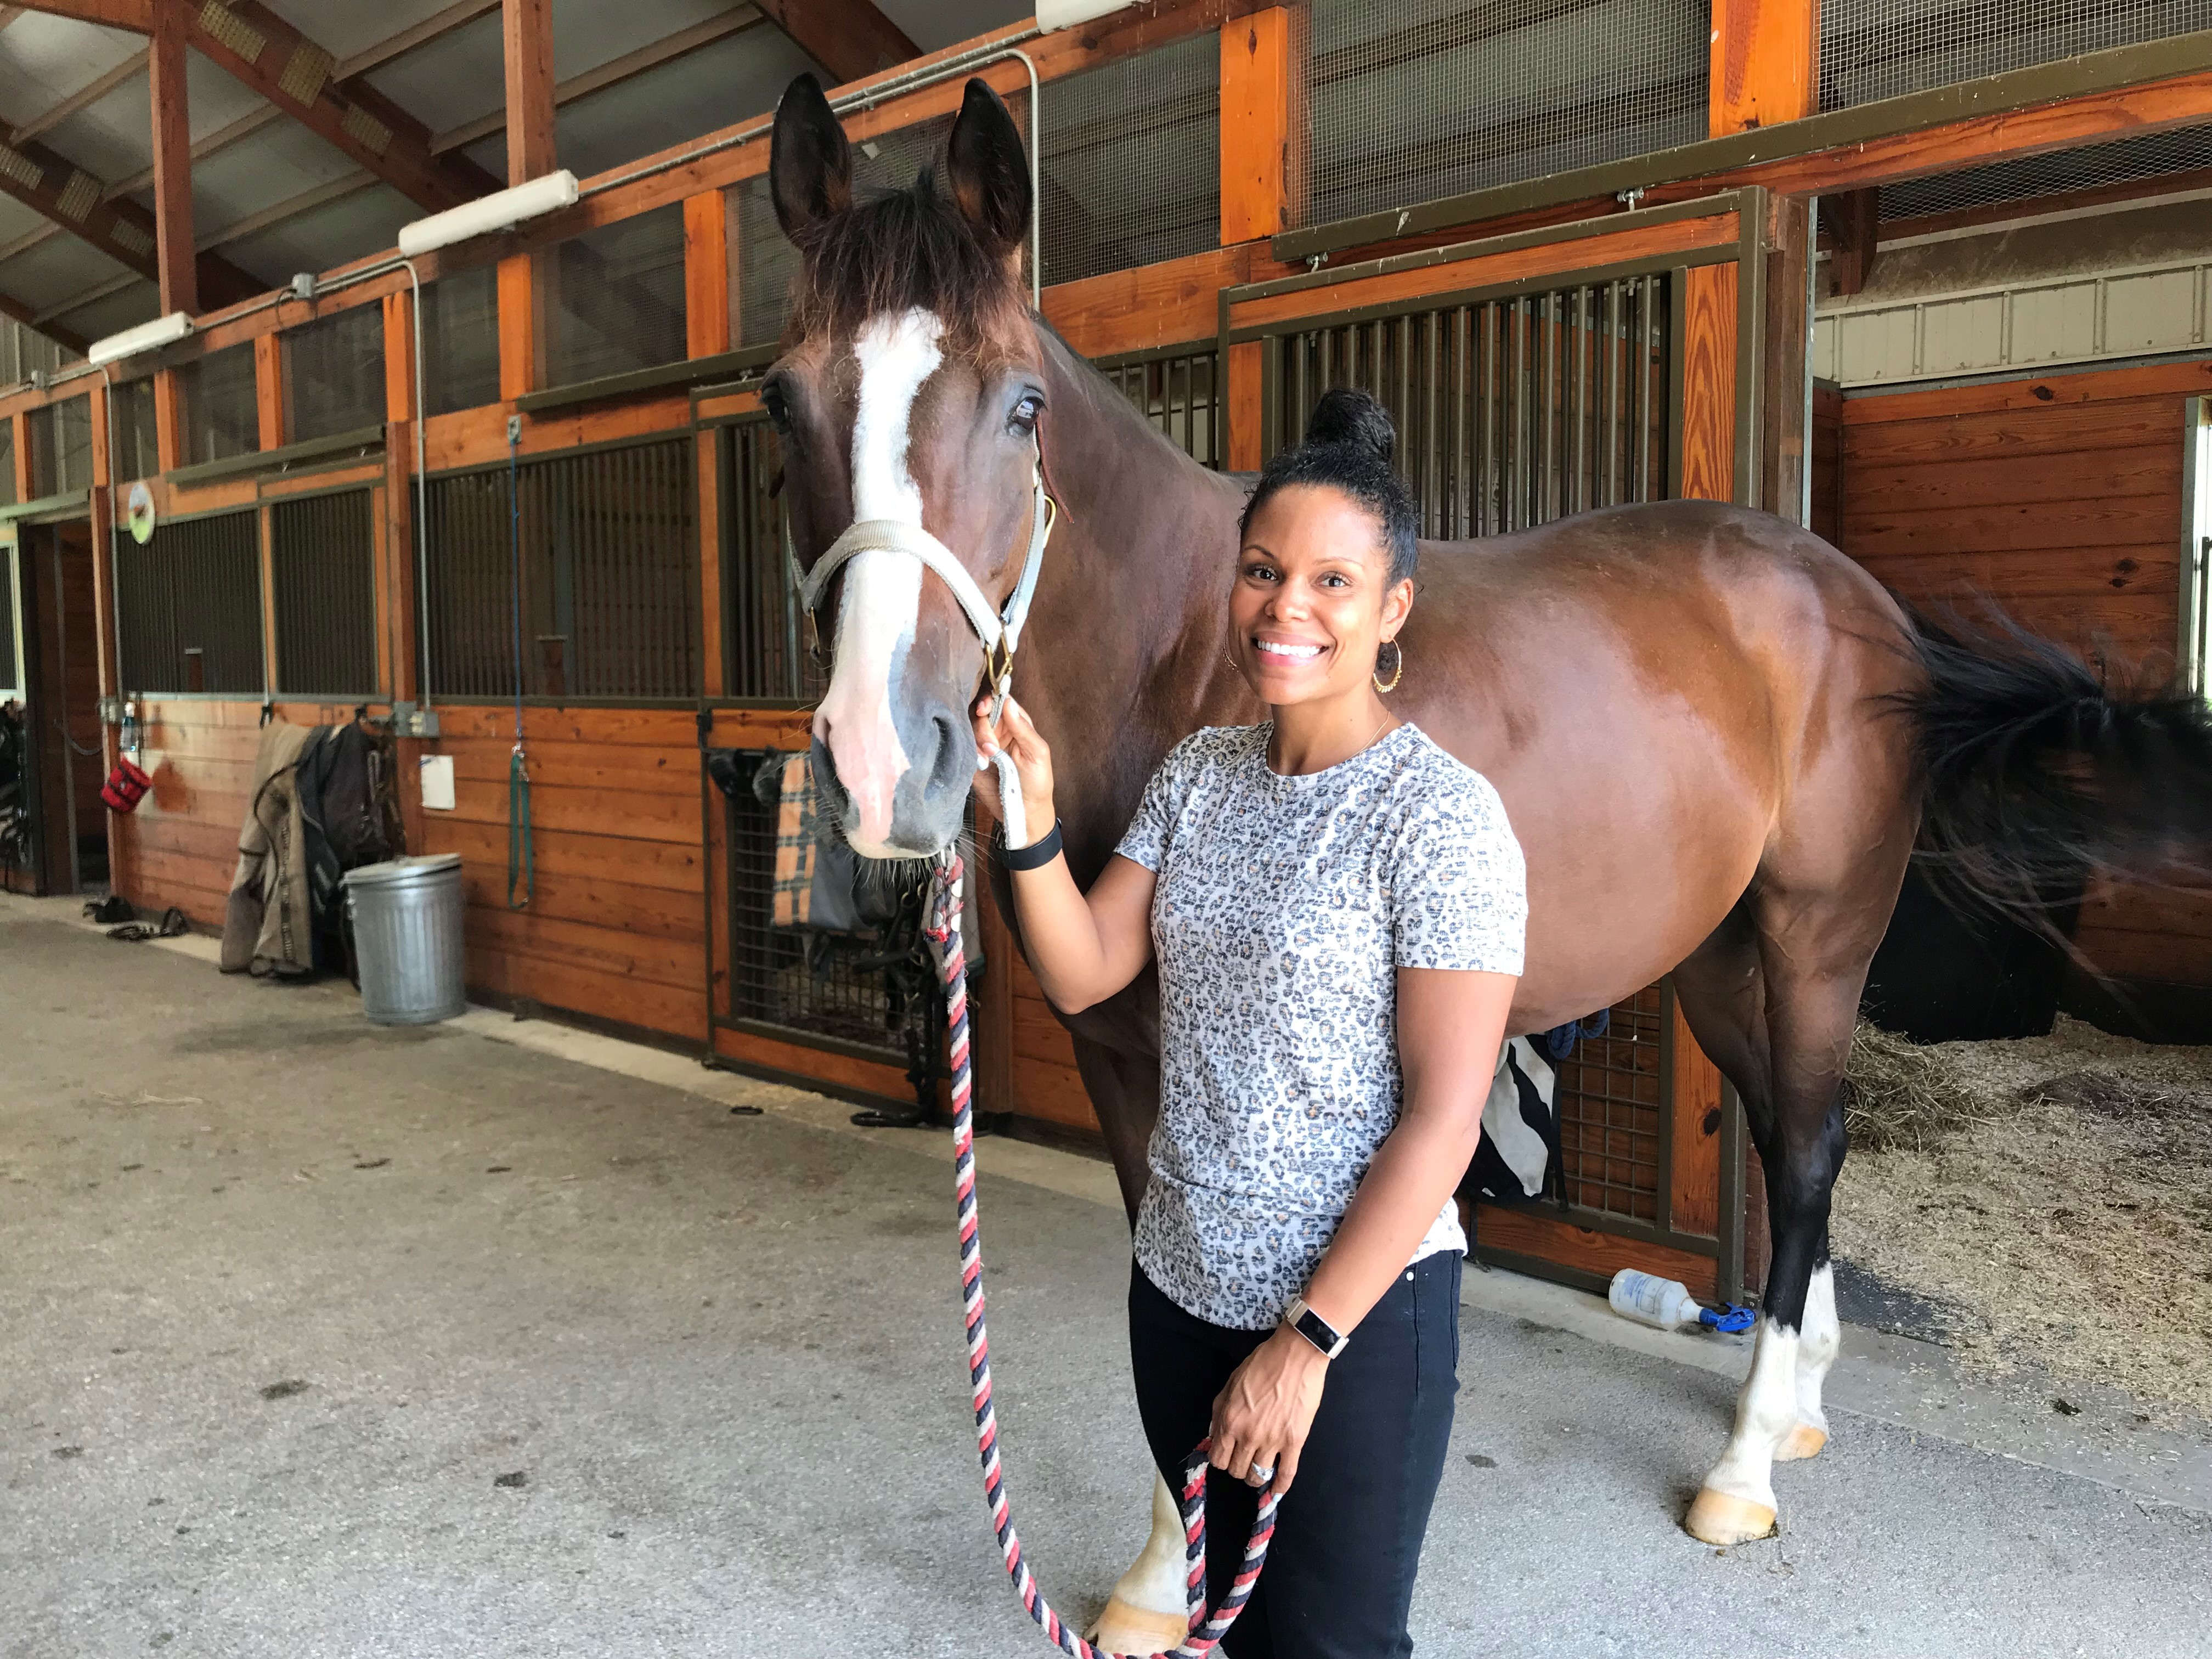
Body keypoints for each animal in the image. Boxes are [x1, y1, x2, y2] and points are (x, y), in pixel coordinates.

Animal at [761, 75, 2212, 1654]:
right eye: (783, 402)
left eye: (1021, 407)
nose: (880, 761)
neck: (1186, 656)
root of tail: (1857, 606)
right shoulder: (1123, 1053)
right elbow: (1165, 1287)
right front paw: (1160, 1582)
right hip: (1717, 961)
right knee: (1782, 1136)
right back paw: (1804, 1399)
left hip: (1818, 940)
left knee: (1816, 1144)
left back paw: (1747, 1466)